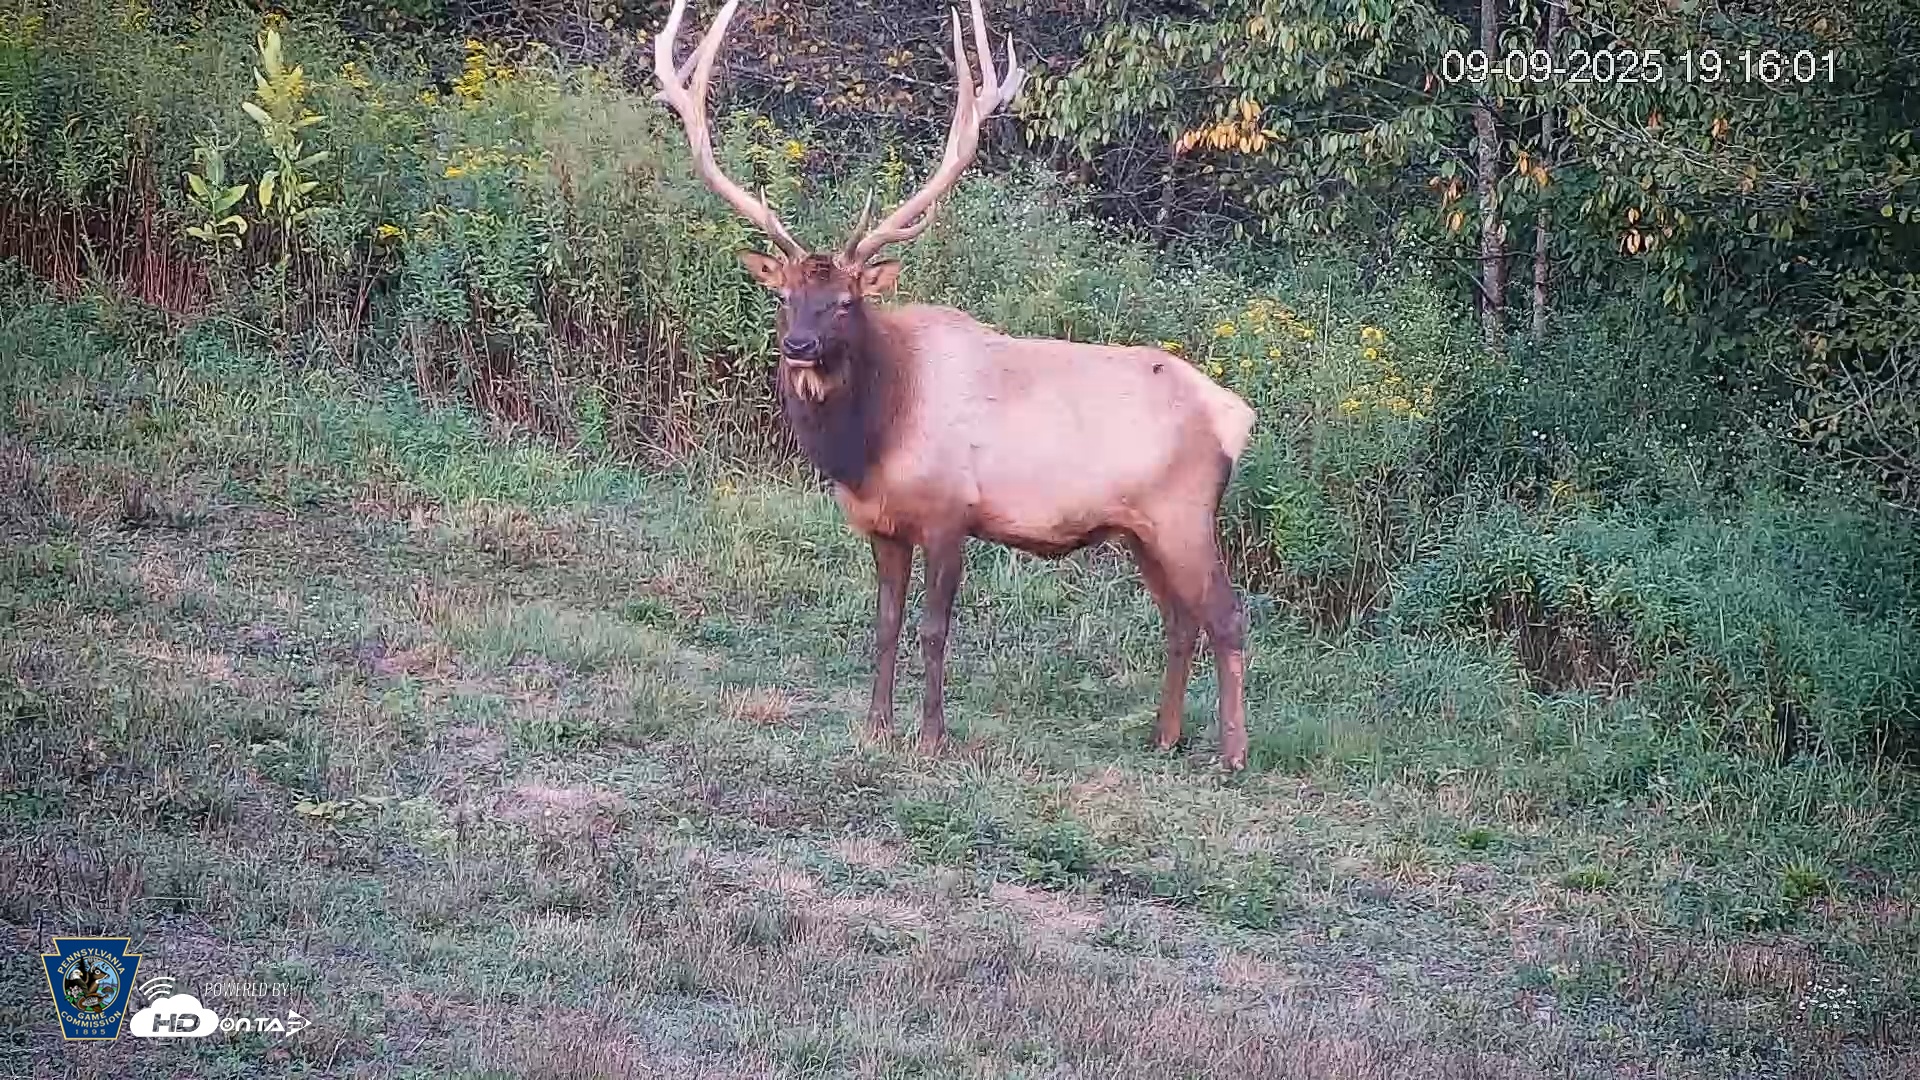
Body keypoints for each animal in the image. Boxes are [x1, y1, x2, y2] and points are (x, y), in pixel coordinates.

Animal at [652, 0, 1258, 769]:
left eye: (845, 301)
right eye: (785, 296)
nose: (798, 346)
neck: (871, 440)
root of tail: (1236, 415)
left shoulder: (950, 513)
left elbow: (934, 628)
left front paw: (932, 736)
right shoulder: (879, 524)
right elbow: (884, 621)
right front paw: (876, 724)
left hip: (1185, 513)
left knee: (1226, 616)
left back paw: (1231, 754)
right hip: (1139, 529)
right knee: (1180, 619)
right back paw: (1164, 736)